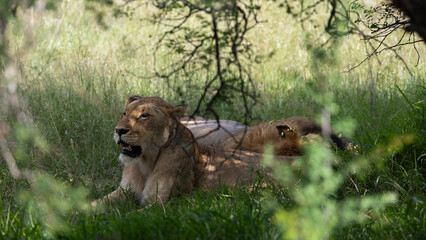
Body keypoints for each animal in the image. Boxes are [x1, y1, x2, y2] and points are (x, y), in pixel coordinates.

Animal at [93, 95, 292, 206]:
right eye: (124, 113)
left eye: (144, 115)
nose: (119, 130)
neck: (145, 163)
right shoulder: (123, 192)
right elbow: (95, 205)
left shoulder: (160, 205)